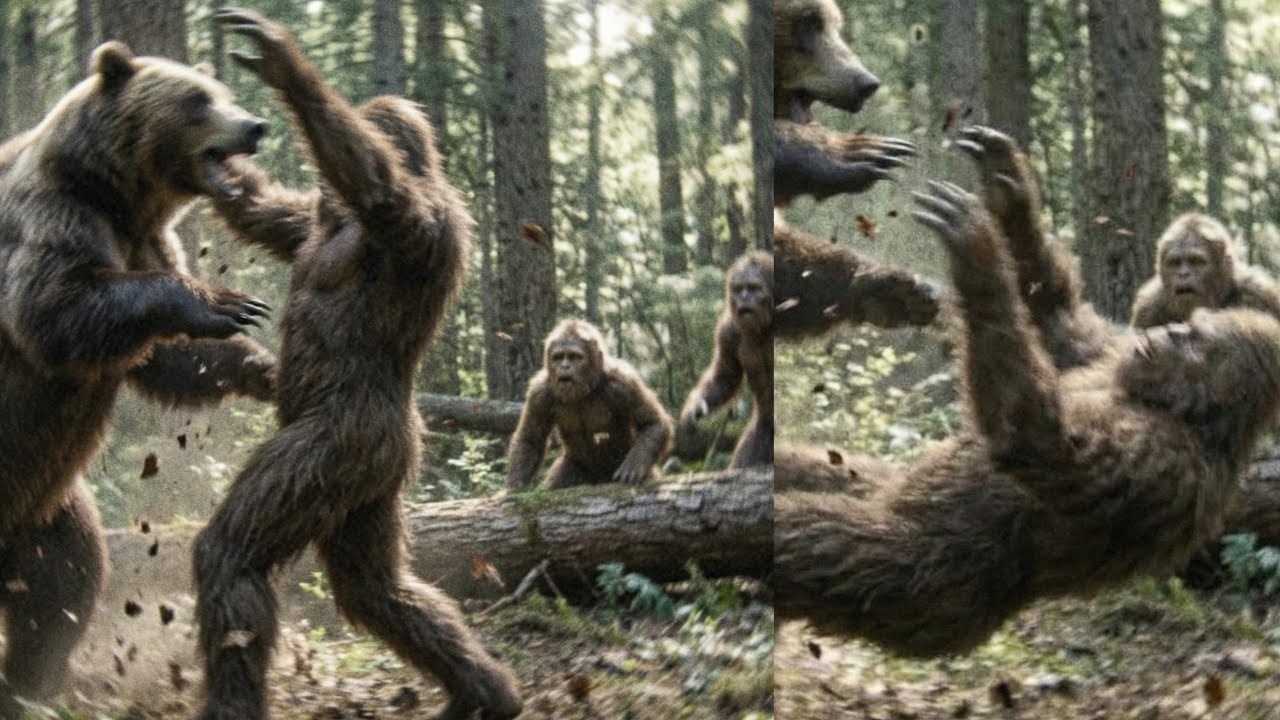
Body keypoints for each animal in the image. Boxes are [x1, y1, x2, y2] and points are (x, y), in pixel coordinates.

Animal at [0, 41, 274, 712]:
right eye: (198, 99)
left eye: (223, 89)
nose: (254, 125)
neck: (118, 197)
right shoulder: (52, 220)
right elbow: (55, 309)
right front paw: (224, 302)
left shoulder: (146, 236)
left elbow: (167, 359)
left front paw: (262, 363)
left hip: (44, 507)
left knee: (66, 577)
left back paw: (30, 683)